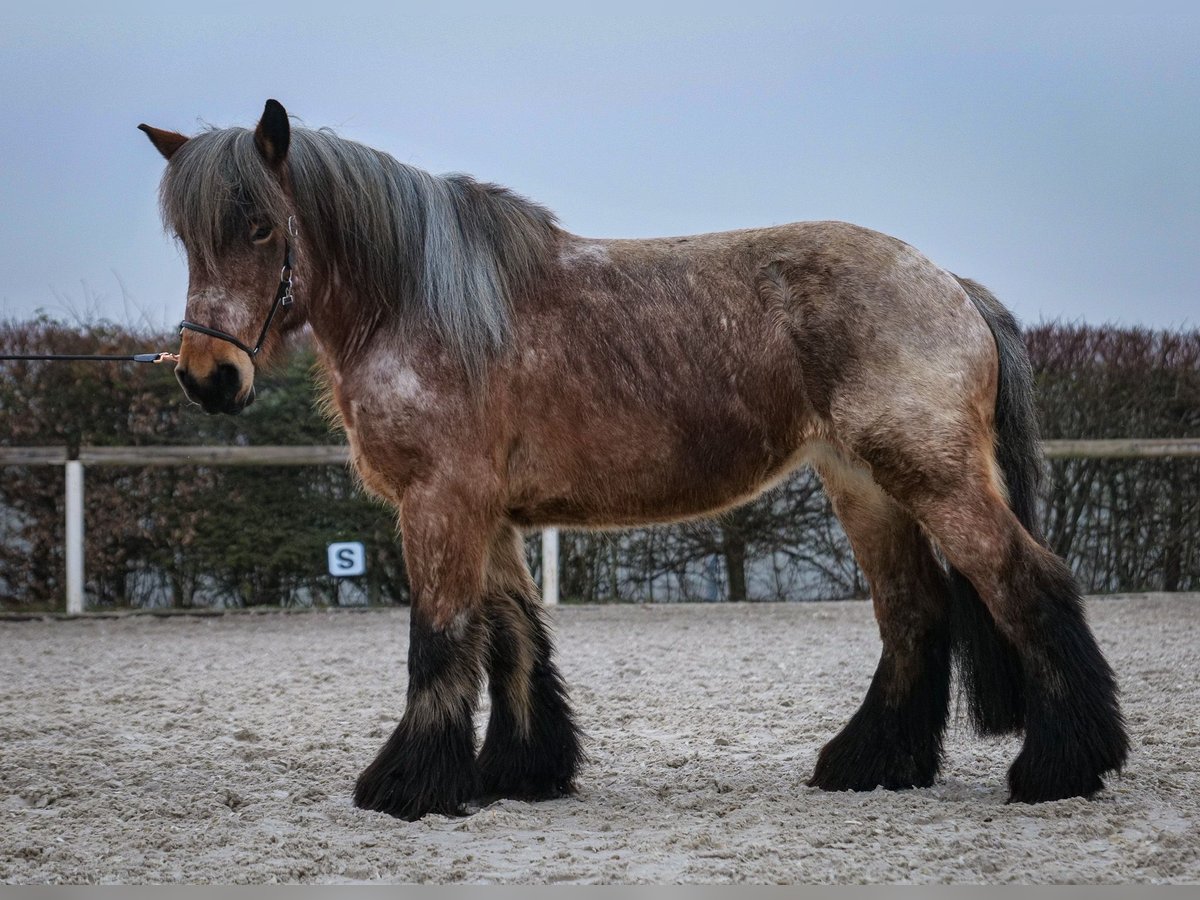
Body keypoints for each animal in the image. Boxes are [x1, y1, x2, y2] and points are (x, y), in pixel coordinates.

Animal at [138, 100, 1123, 825]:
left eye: (261, 228)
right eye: (187, 237)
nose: (207, 376)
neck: (423, 303)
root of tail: (952, 285)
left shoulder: (440, 501)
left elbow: (440, 638)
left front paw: (410, 786)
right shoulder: (490, 513)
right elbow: (513, 638)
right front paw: (521, 771)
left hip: (934, 478)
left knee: (1026, 583)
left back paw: (1060, 765)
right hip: (866, 486)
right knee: (914, 614)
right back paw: (871, 763)